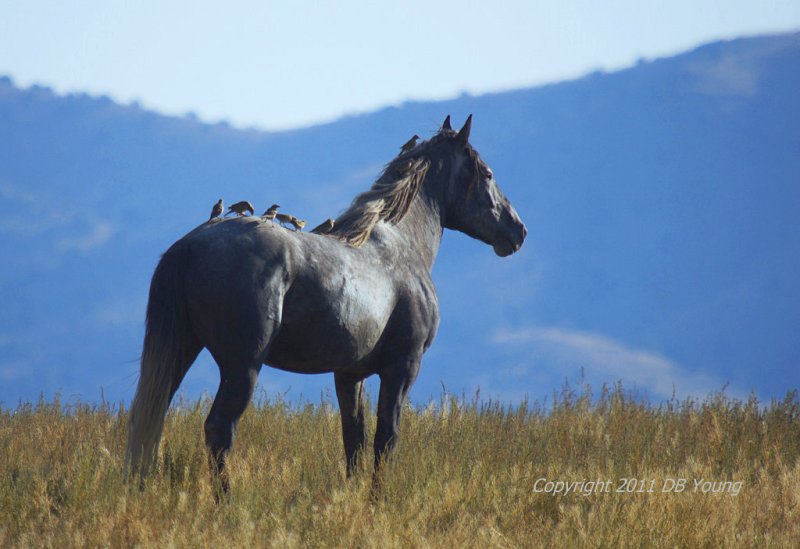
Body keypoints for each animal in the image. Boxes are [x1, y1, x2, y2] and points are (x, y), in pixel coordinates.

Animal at [126, 114, 524, 488]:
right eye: (487, 173)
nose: (517, 230)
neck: (401, 245)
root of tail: (190, 245)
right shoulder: (402, 368)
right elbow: (385, 439)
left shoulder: (349, 375)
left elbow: (354, 440)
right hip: (242, 367)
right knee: (218, 429)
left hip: (182, 350)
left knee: (149, 418)